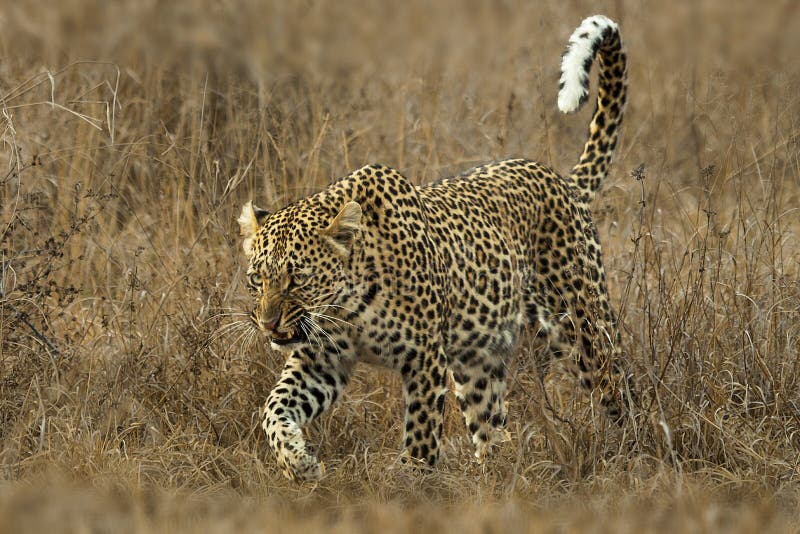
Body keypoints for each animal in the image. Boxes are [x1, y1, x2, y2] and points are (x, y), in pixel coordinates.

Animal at [238, 14, 632, 484]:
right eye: (256, 279)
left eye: (298, 278)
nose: (267, 324)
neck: (348, 307)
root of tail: (564, 181)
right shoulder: (321, 361)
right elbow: (273, 409)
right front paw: (299, 462)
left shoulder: (423, 357)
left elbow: (421, 434)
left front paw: (410, 482)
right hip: (479, 361)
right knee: (491, 424)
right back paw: (493, 474)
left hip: (581, 328)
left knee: (616, 384)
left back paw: (634, 447)